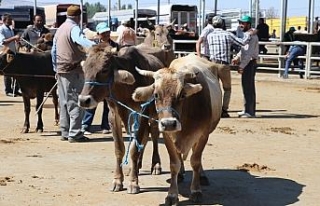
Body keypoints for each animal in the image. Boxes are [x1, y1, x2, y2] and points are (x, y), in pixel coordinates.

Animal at [132, 54, 222, 205]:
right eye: (156, 95)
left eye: (182, 94)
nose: (169, 123)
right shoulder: (168, 136)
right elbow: (174, 164)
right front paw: (172, 195)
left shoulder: (203, 135)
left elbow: (195, 161)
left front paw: (196, 190)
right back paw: (180, 175)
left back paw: (202, 175)